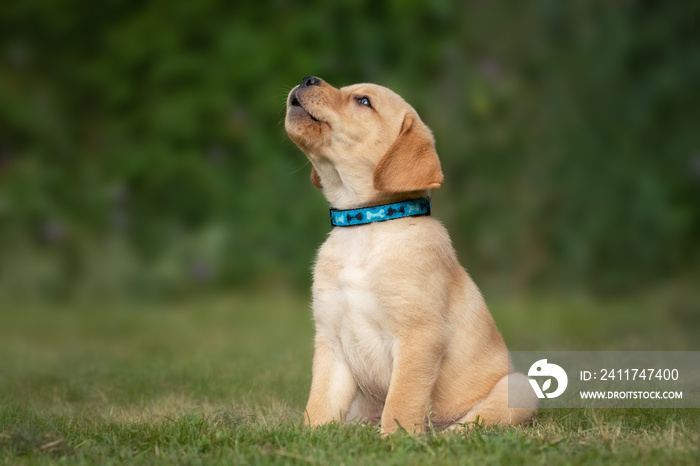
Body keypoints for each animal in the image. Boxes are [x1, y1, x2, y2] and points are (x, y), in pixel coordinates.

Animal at [284, 74, 536, 436]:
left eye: (363, 101)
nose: (307, 79)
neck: (367, 225)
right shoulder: (330, 339)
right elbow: (320, 402)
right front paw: (310, 436)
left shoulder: (419, 336)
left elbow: (401, 402)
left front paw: (394, 440)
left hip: (520, 387)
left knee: (471, 423)